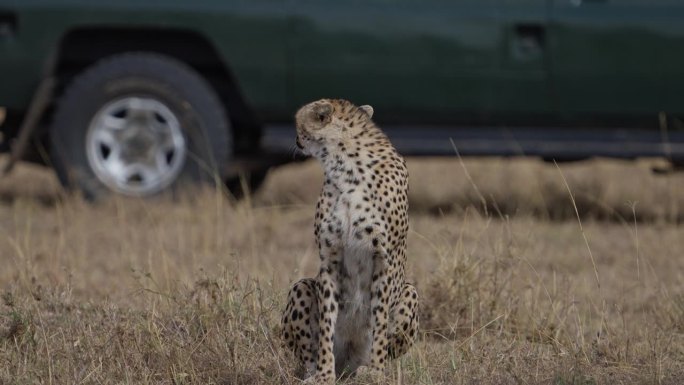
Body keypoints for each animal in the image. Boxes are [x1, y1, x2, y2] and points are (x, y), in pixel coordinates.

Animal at [280, 98, 420, 380]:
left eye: (299, 122)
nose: (296, 139)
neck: (345, 166)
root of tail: (349, 361)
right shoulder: (330, 258)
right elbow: (326, 323)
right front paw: (324, 374)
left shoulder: (384, 260)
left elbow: (379, 321)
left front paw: (375, 371)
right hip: (301, 287)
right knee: (308, 354)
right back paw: (314, 373)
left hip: (410, 292)